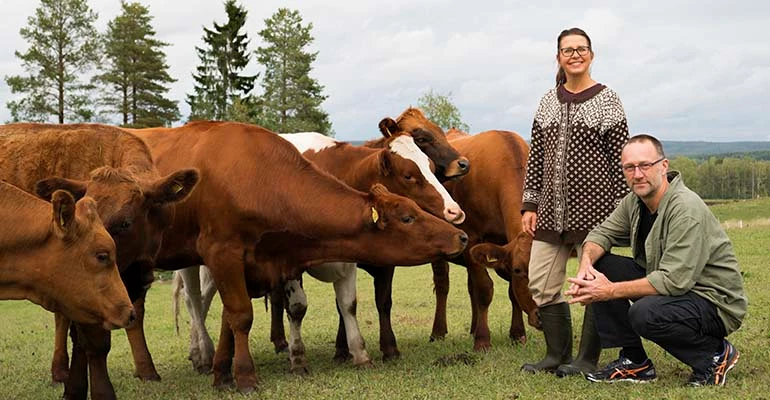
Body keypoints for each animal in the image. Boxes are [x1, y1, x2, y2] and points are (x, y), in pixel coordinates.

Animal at [124, 120, 468, 392]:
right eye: (410, 176)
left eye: (431, 167)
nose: (457, 215)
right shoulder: (243, 256)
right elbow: (281, 309)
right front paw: (288, 362)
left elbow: (350, 305)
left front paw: (358, 352)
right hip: (182, 263)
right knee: (193, 300)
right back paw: (190, 357)